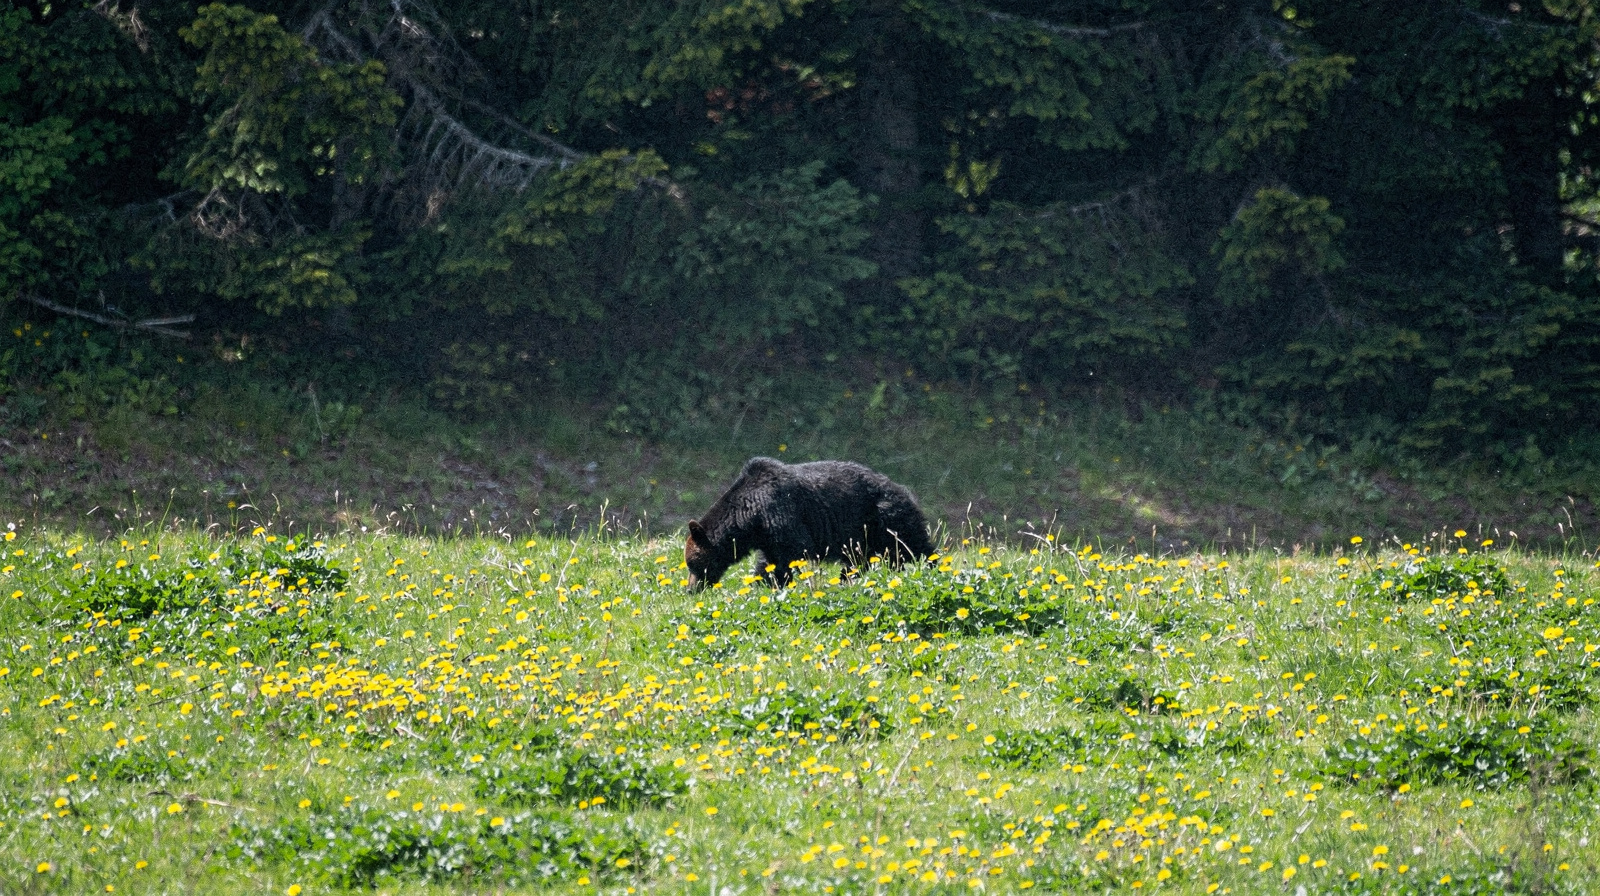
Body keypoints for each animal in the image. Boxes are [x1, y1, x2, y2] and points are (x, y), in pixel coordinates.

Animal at [684, 457, 935, 590]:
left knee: (911, 545)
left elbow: (793, 552)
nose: (691, 589)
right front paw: (765, 583)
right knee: (863, 559)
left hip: (885, 518)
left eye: (692, 564)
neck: (749, 515)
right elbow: (770, 562)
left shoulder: (780, 514)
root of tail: (904, 490)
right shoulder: (767, 535)